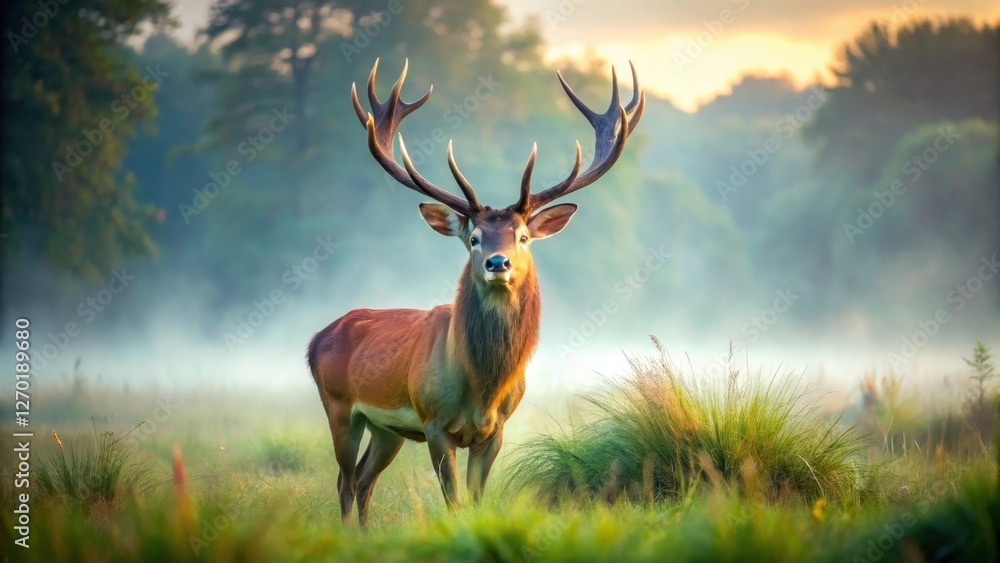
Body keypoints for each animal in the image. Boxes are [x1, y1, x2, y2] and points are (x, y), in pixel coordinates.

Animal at [307, 58, 644, 527]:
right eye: (474, 238)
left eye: (523, 236)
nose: (497, 263)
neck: (481, 388)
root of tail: (316, 339)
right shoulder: (434, 423)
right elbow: (453, 501)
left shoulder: (495, 431)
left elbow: (476, 498)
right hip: (339, 406)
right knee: (344, 479)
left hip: (387, 430)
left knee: (363, 479)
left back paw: (363, 534)